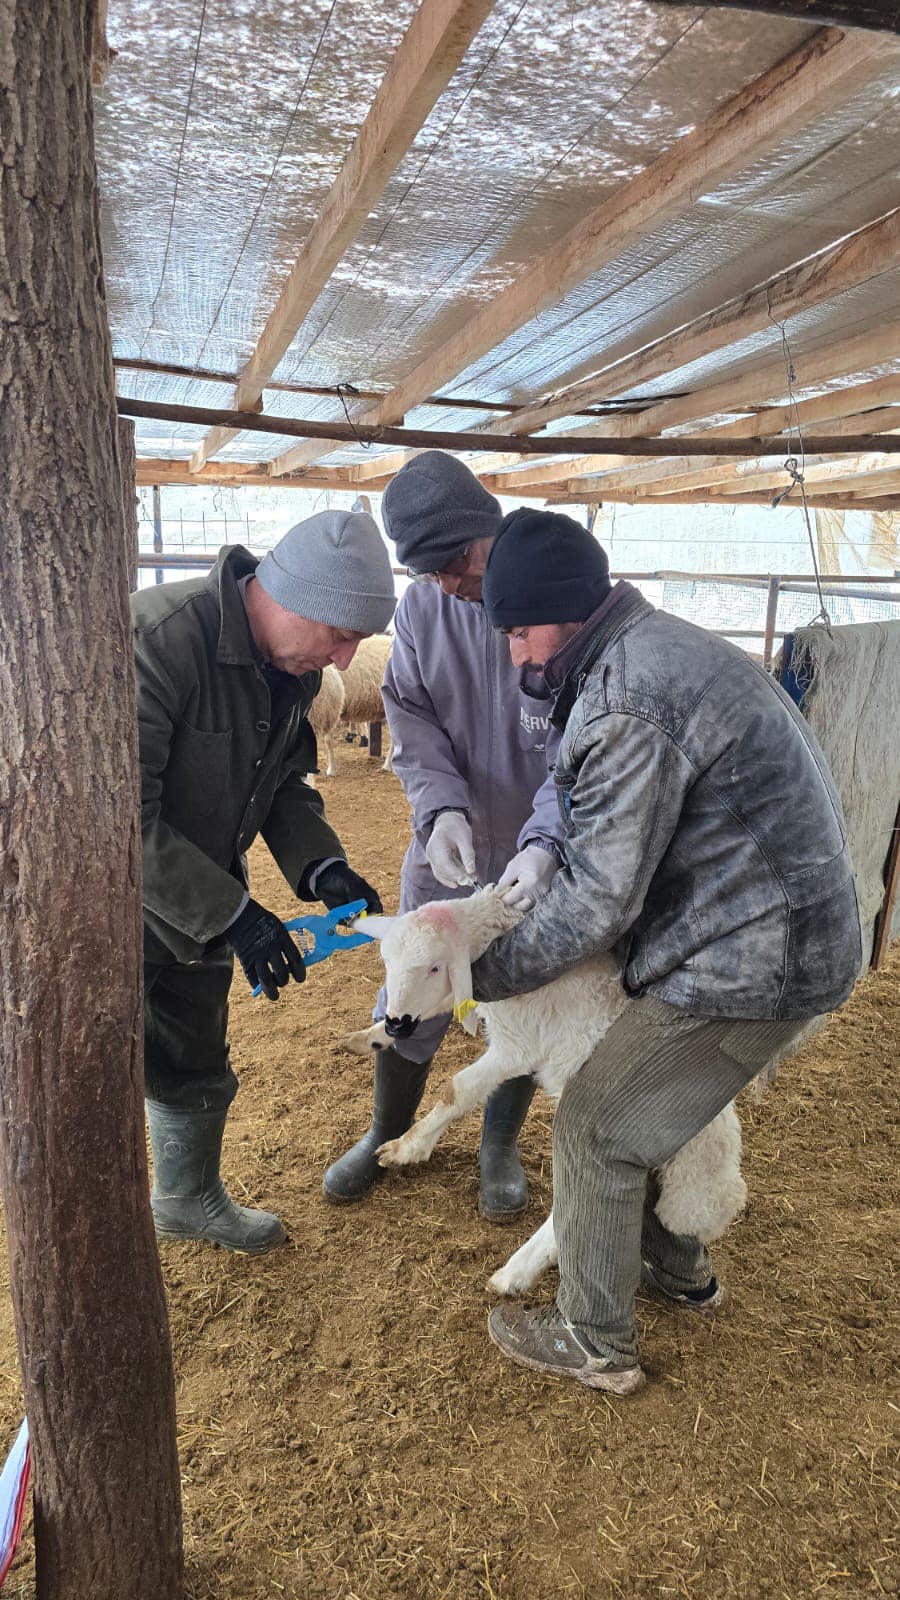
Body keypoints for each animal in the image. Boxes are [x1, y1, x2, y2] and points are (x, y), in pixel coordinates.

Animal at [342, 889, 743, 1299]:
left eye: (435, 967)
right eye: (386, 962)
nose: (397, 1022)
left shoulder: (515, 1046)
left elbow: (458, 1089)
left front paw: (406, 1147)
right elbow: (437, 1008)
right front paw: (371, 1037)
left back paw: (514, 1273)